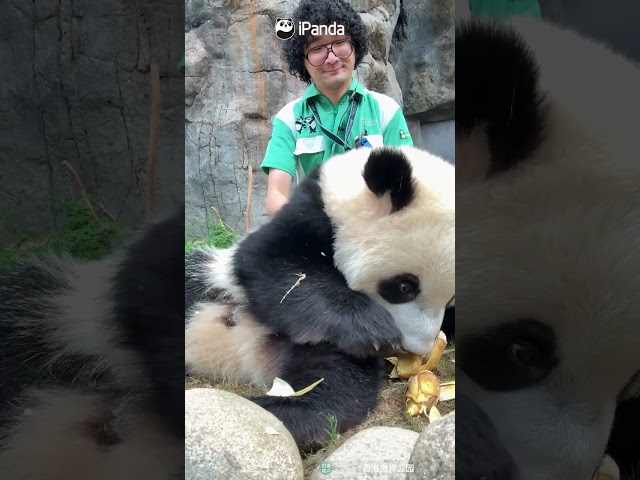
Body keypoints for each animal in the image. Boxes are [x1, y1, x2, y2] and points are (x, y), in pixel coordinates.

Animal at [185, 145, 455, 451]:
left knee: (333, 378)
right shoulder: (308, 214)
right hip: (208, 281)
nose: (417, 348)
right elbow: (274, 266)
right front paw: (372, 330)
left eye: (450, 299)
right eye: (405, 287)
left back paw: (282, 411)